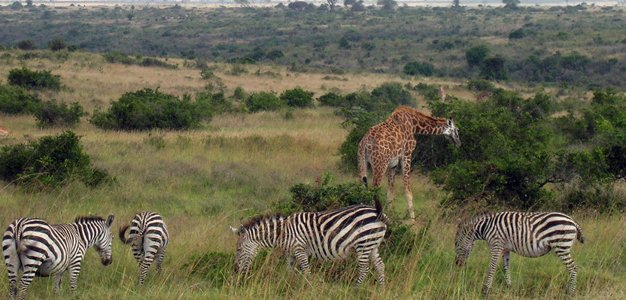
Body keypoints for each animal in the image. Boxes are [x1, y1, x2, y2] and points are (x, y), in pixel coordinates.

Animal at [229, 196, 386, 284]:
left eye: (238, 249)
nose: (236, 270)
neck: (283, 234)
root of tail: (377, 212)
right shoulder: (291, 253)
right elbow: (289, 271)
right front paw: (287, 286)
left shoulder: (300, 250)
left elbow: (306, 271)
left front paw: (307, 288)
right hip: (372, 245)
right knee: (380, 266)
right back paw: (381, 289)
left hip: (363, 244)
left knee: (364, 270)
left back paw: (356, 289)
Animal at [450, 211, 584, 296]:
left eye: (456, 244)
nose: (457, 264)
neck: (486, 227)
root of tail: (572, 221)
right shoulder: (505, 249)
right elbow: (506, 267)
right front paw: (509, 287)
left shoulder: (496, 245)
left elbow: (492, 268)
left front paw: (485, 290)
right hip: (563, 247)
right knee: (572, 267)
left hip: (561, 246)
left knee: (573, 267)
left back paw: (569, 292)